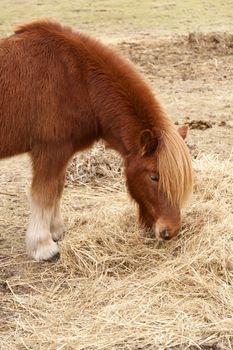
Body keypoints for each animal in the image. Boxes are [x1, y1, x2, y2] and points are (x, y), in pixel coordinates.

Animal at [0, 19, 193, 260]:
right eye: (154, 176)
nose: (170, 231)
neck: (79, 80)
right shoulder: (50, 151)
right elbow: (44, 194)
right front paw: (43, 247)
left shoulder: (61, 154)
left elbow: (57, 189)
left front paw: (56, 231)